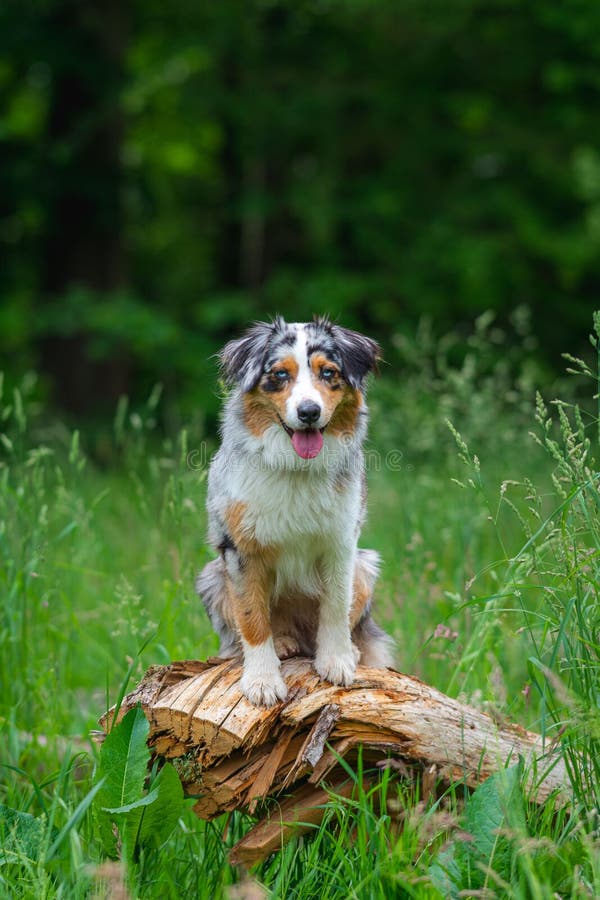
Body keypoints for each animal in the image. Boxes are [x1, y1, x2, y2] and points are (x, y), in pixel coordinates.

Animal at [196, 318, 394, 712]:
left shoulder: (341, 543)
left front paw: (337, 660)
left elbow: (334, 606)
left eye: (328, 372)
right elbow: (252, 619)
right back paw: (284, 643)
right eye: (280, 375)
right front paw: (261, 681)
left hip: (366, 566)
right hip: (211, 577)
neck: (296, 469)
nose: (309, 412)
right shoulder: (240, 550)